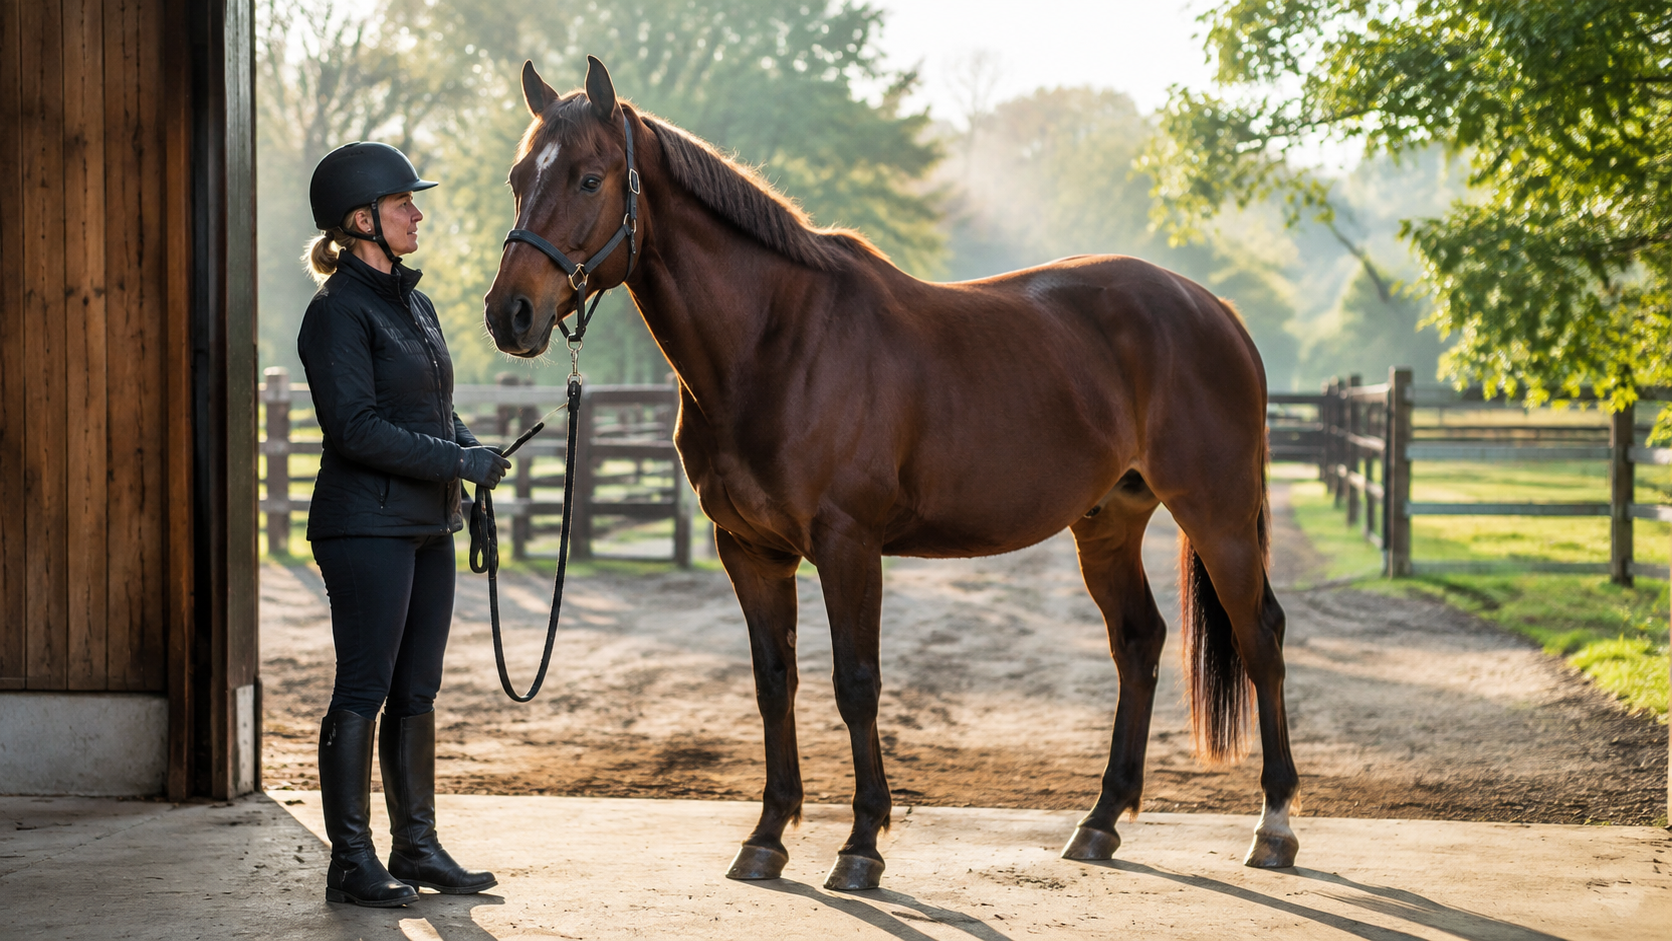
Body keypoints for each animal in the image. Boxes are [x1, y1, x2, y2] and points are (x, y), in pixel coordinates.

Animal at [483, 56, 1298, 891]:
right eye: (518, 175)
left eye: (590, 179)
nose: (509, 313)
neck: (777, 341)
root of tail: (1213, 309)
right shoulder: (749, 550)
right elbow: (773, 681)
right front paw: (767, 835)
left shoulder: (848, 545)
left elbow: (856, 681)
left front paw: (861, 843)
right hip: (1108, 522)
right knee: (1138, 640)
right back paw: (1100, 821)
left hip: (1219, 514)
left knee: (1261, 636)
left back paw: (1272, 827)